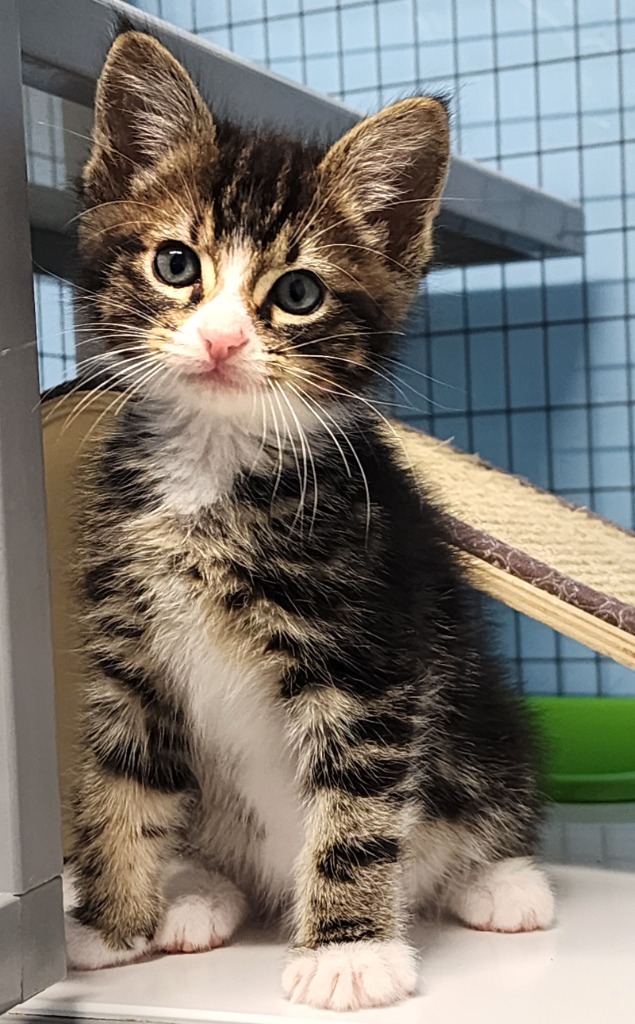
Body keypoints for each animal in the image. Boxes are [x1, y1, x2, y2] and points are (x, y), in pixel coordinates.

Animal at [61, 28, 553, 1011]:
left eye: (296, 293)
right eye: (176, 264)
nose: (221, 341)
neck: (213, 470)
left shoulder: (368, 652)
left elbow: (356, 807)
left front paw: (348, 953)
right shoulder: (128, 649)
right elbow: (119, 780)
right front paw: (105, 925)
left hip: (480, 713)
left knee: (479, 804)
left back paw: (502, 882)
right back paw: (194, 895)